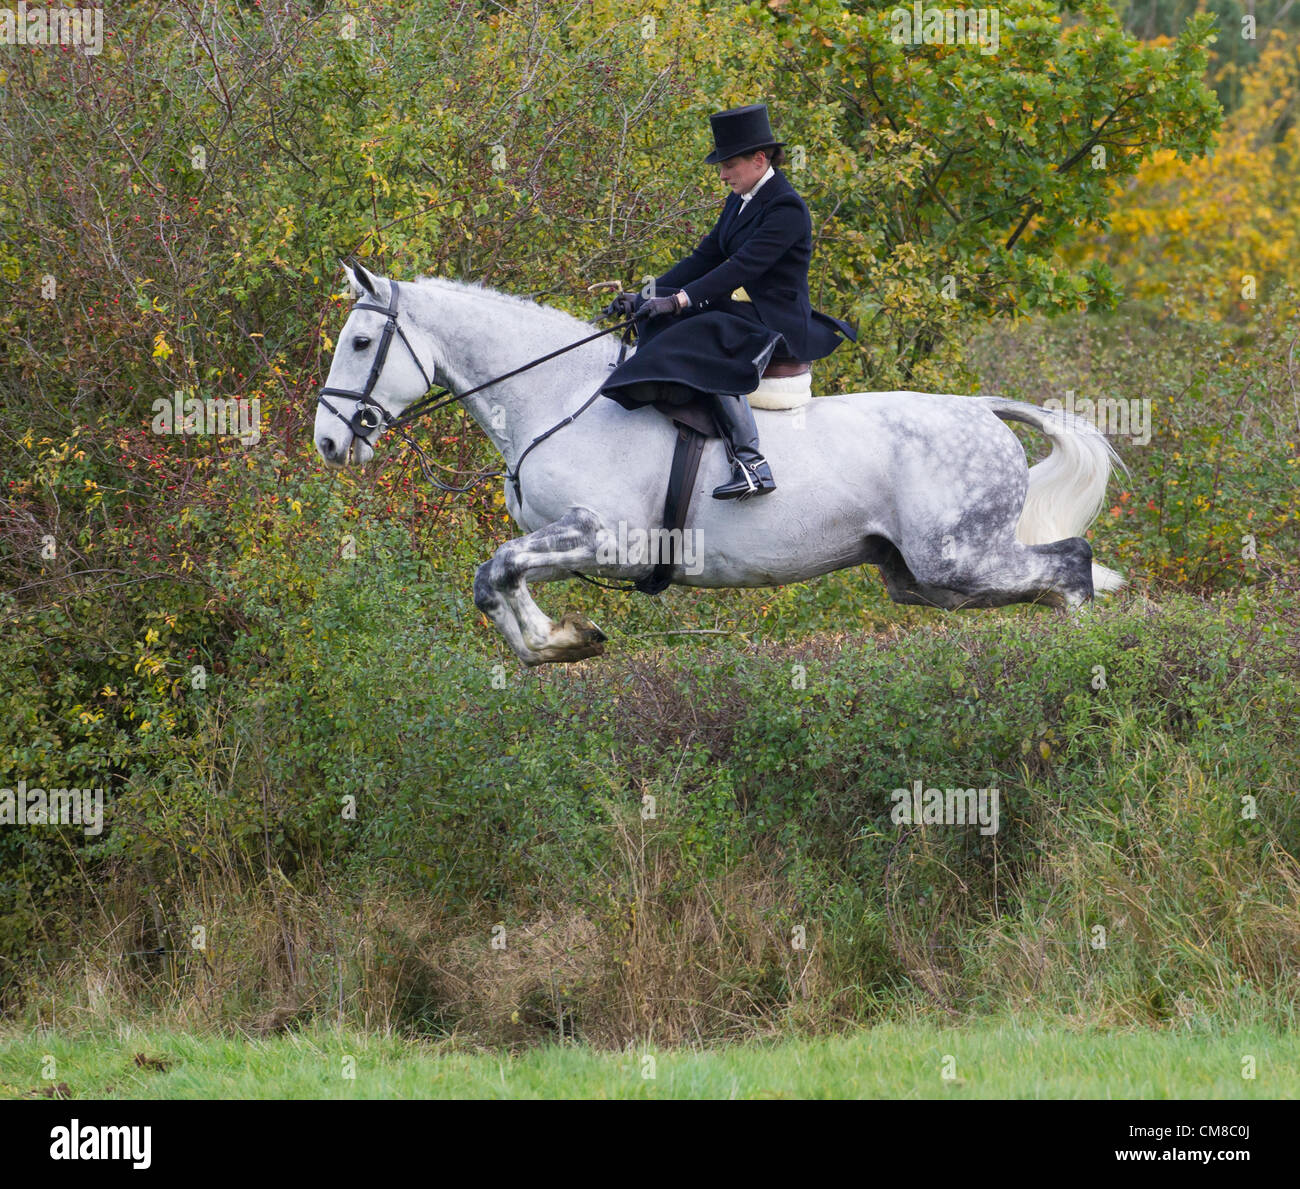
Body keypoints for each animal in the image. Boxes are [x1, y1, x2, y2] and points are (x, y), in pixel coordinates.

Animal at [317, 263, 1128, 665]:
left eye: (359, 343)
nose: (328, 442)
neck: (557, 397)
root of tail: (981, 409)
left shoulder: (607, 537)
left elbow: (499, 567)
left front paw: (558, 641)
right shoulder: (570, 543)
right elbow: (497, 577)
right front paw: (560, 642)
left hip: (954, 558)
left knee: (1072, 563)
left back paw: (1091, 658)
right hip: (923, 577)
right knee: (1049, 577)